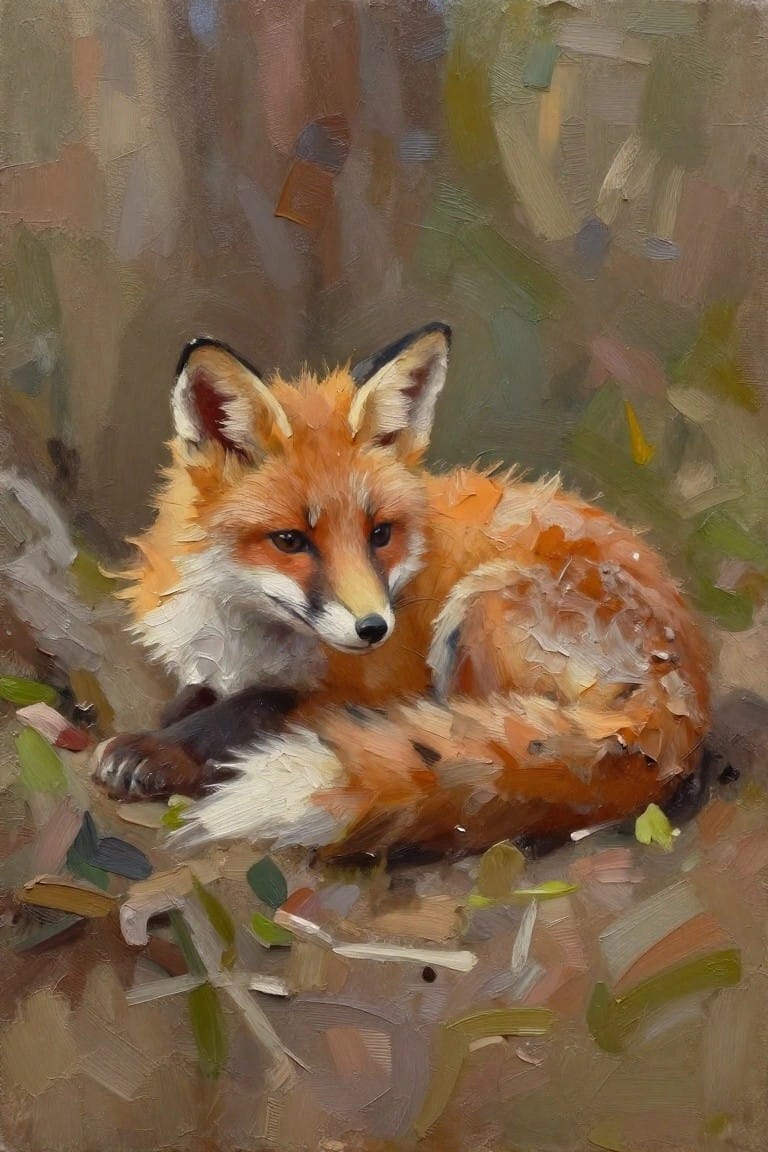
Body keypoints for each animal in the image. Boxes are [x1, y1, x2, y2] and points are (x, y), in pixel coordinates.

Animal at [92, 323, 711, 864]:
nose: (373, 628)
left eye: (380, 534)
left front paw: (161, 752)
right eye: (290, 540)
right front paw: (166, 725)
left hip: (477, 609)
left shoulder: (363, 689)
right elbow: (199, 698)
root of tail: (683, 691)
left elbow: (250, 710)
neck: (247, 631)